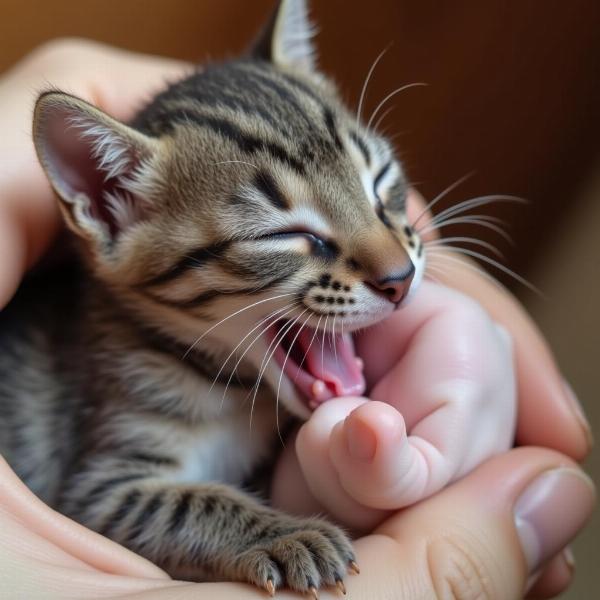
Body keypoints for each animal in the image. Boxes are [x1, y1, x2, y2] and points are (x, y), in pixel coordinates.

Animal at [0, 0, 422, 592]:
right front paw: (288, 535)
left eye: (381, 182)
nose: (401, 276)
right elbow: (190, 504)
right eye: (282, 234)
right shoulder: (95, 490)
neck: (229, 387)